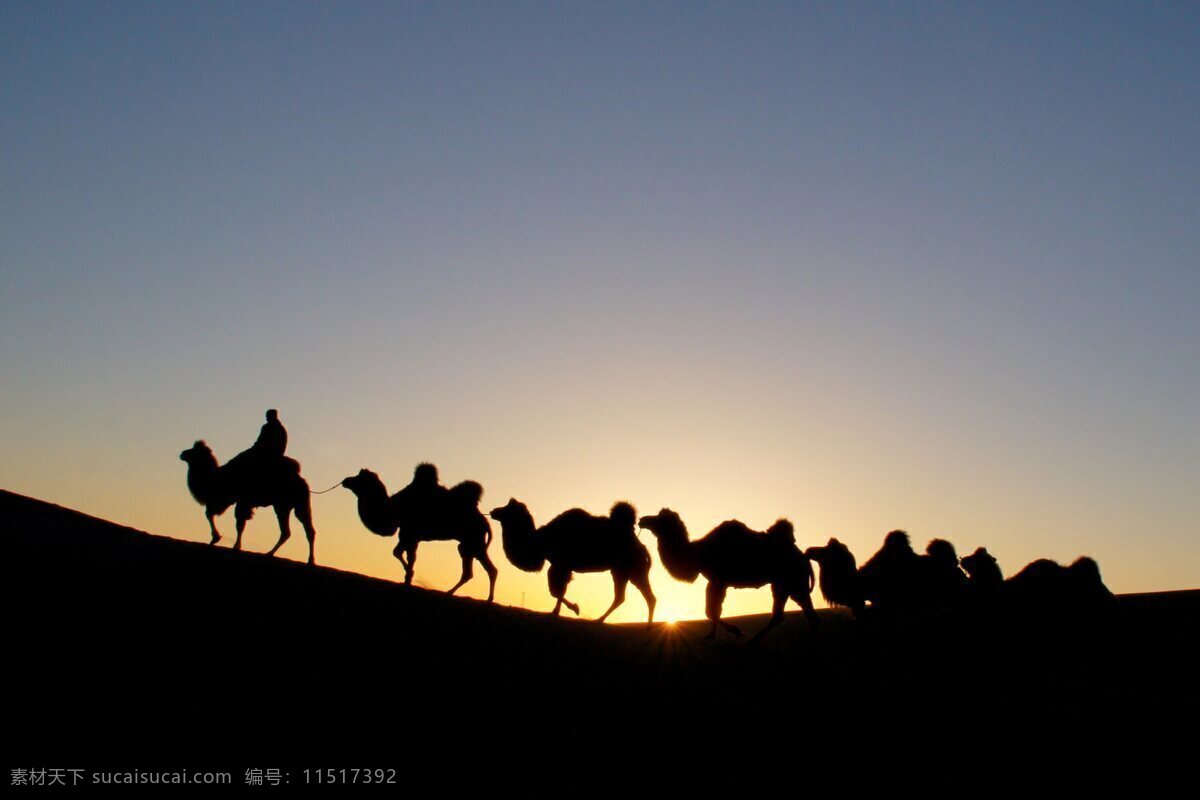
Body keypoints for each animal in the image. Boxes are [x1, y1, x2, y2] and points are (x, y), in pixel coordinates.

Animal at [177, 438, 316, 563]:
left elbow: (236, 523)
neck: (215, 479)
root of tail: (302, 481)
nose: (182, 453)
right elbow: (215, 515)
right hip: (290, 505)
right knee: (295, 530)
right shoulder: (233, 501)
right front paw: (218, 539)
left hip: (289, 504)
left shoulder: (241, 501)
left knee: (296, 530)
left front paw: (227, 543)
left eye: (195, 451)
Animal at [343, 462, 496, 599]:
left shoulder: (408, 533)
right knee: (475, 570)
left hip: (473, 541)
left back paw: (485, 598)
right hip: (470, 544)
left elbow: (399, 553)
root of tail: (486, 524)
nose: (345, 480)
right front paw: (407, 578)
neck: (394, 509)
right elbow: (405, 555)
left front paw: (409, 576)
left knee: (485, 569)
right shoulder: (410, 535)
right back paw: (453, 593)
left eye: (360, 478)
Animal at [487, 501, 657, 623]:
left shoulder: (560, 564)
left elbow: (556, 590)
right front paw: (557, 611)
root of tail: (644, 549)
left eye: (508, 509)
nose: (494, 511)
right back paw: (602, 620)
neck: (541, 542)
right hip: (625, 572)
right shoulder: (561, 565)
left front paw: (574, 609)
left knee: (642, 597)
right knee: (628, 597)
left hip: (630, 570)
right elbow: (559, 590)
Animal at [638, 506, 816, 642]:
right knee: (791, 613)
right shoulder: (715, 581)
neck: (699, 554)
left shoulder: (718, 581)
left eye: (659, 519)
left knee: (797, 612)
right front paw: (711, 635)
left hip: (792, 581)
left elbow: (712, 611)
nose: (642, 520)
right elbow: (712, 611)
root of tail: (804, 558)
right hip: (786, 584)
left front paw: (733, 631)